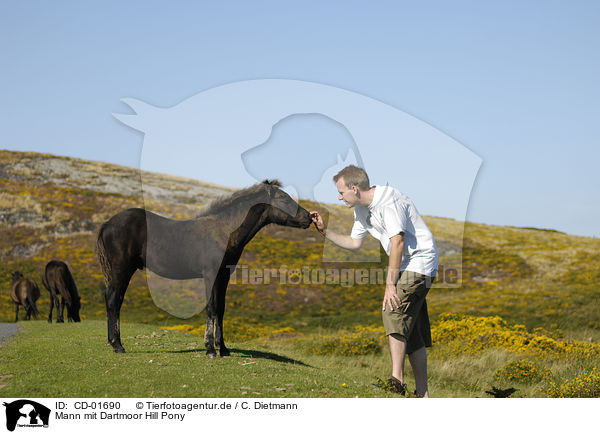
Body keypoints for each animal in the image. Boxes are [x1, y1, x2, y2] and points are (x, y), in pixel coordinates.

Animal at [96, 179, 312, 356]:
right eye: (283, 198)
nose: (309, 218)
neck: (225, 231)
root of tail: (107, 223)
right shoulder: (210, 275)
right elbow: (211, 307)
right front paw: (210, 349)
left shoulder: (224, 276)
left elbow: (221, 309)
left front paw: (223, 348)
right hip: (122, 269)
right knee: (113, 300)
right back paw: (117, 345)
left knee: (114, 299)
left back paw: (112, 342)